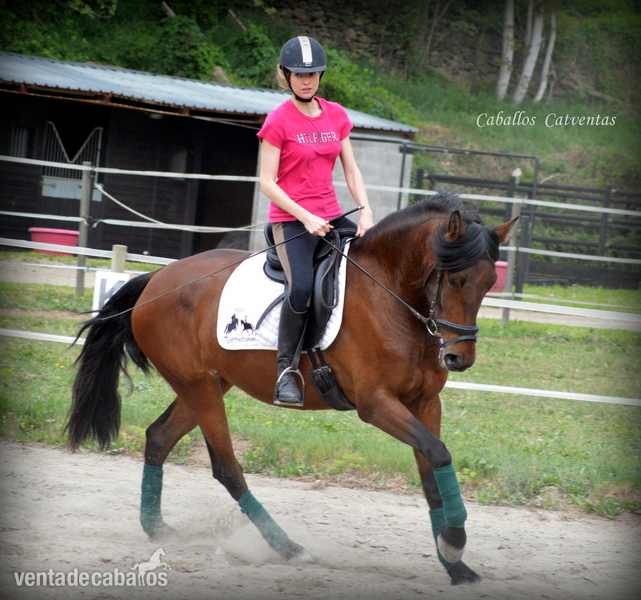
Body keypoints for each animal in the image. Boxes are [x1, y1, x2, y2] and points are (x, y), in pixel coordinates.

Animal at [66, 192, 516, 586]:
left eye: (490, 281)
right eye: (455, 280)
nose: (459, 358)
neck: (392, 294)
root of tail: (157, 278)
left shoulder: (424, 403)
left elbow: (432, 473)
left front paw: (455, 564)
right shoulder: (376, 404)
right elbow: (438, 453)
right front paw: (454, 542)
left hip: (207, 384)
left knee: (159, 438)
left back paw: (158, 528)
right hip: (199, 388)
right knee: (227, 468)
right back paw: (287, 548)